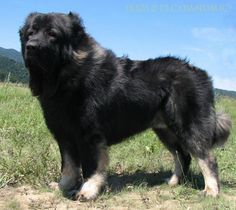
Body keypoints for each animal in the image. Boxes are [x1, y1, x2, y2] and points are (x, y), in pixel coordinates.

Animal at [19, 12, 231, 201]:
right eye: (30, 33)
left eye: (52, 34)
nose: (31, 46)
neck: (68, 76)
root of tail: (202, 74)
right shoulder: (64, 135)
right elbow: (68, 167)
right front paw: (63, 186)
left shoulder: (90, 136)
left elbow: (91, 167)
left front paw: (87, 191)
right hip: (165, 130)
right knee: (183, 155)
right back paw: (174, 182)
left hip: (188, 126)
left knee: (207, 158)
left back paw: (211, 190)